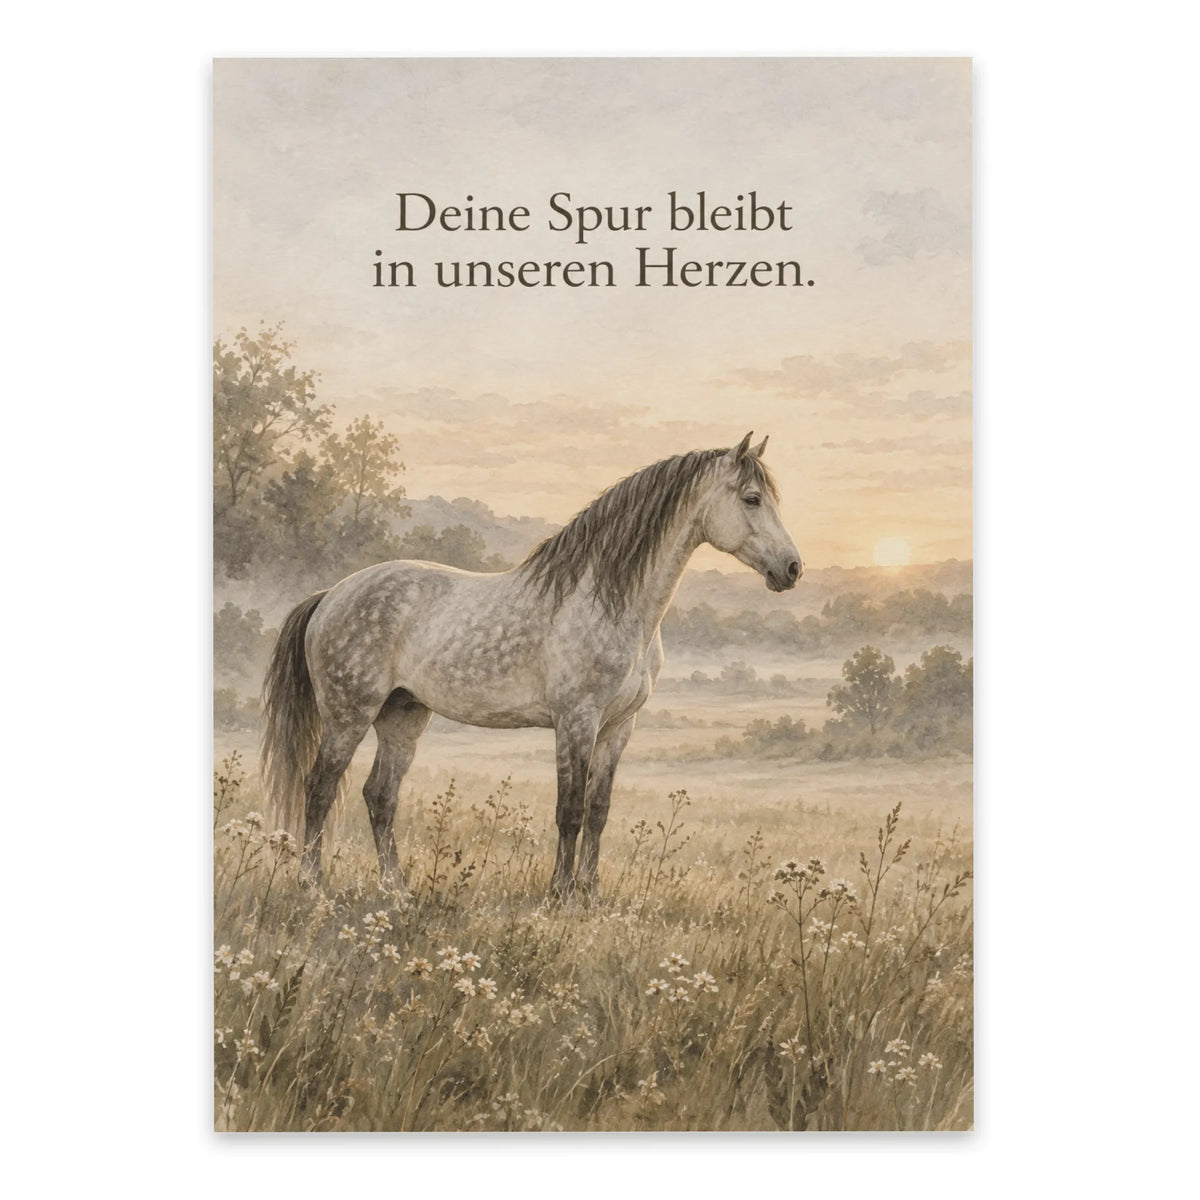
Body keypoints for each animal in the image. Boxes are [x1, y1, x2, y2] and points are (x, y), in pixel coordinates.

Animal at [260, 431, 802, 900]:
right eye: (752, 499)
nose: (792, 569)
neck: (609, 600)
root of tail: (331, 594)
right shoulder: (576, 720)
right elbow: (570, 810)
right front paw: (560, 895)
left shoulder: (618, 728)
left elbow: (599, 812)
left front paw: (591, 894)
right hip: (349, 714)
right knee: (319, 789)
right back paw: (312, 885)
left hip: (403, 716)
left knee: (379, 797)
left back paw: (398, 890)